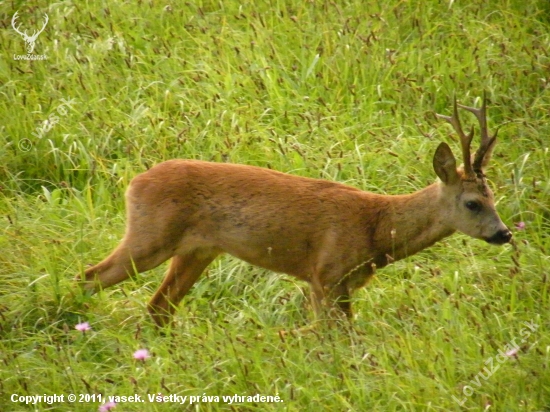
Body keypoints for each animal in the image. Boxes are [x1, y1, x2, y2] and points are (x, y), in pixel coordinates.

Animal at [80, 96, 516, 326]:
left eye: (495, 196)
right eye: (472, 202)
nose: (505, 233)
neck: (378, 228)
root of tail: (135, 181)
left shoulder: (332, 283)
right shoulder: (328, 274)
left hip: (196, 251)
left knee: (159, 306)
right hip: (150, 236)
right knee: (90, 276)